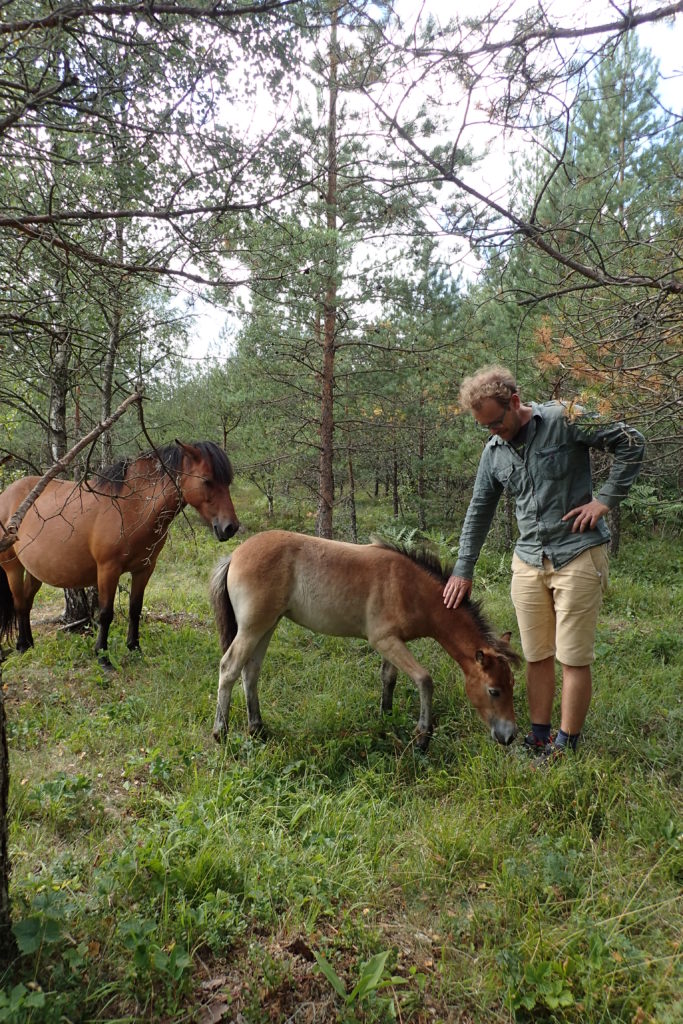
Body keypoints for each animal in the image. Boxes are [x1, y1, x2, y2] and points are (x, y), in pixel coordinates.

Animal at [0, 440, 240, 663]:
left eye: (228, 481)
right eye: (207, 480)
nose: (230, 527)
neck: (132, 507)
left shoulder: (144, 569)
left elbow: (135, 609)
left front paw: (134, 648)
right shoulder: (108, 569)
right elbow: (106, 613)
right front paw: (102, 656)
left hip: (34, 570)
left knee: (26, 604)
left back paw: (29, 644)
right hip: (12, 567)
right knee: (19, 602)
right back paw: (22, 645)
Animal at [208, 532, 518, 749]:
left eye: (512, 685)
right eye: (493, 691)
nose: (509, 736)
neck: (410, 588)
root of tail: (234, 555)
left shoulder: (392, 643)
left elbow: (389, 678)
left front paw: (386, 719)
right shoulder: (384, 641)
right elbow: (424, 679)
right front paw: (422, 736)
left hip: (267, 626)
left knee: (251, 671)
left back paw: (257, 728)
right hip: (252, 628)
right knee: (229, 667)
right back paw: (220, 732)